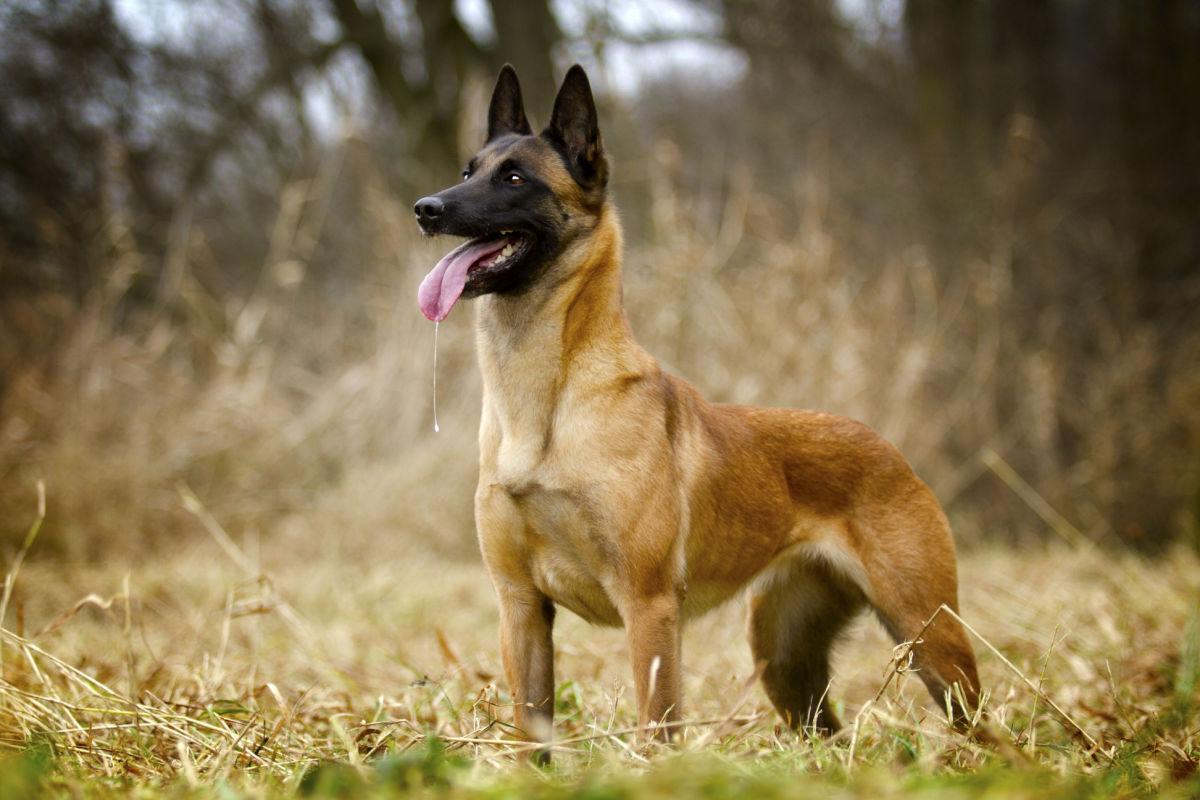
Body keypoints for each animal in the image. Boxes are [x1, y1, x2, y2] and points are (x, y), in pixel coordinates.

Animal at [417, 64, 979, 753]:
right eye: (468, 170)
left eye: (515, 178)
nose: (426, 209)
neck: (545, 405)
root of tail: (888, 448)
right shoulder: (520, 607)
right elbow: (533, 735)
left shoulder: (649, 605)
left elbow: (658, 724)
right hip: (785, 658)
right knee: (824, 733)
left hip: (930, 637)